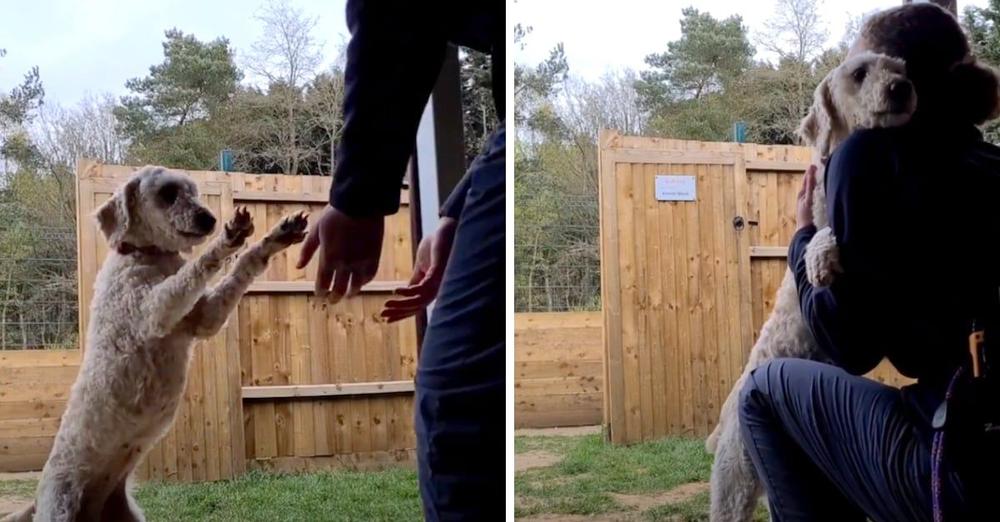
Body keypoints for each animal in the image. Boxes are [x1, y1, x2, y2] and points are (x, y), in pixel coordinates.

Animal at [2, 167, 308, 520]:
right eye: (168, 194)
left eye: (194, 192)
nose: (209, 220)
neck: (146, 255)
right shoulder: (155, 310)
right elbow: (192, 270)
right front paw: (225, 241)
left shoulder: (206, 318)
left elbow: (243, 264)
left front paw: (276, 237)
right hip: (60, 505)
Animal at [704, 51, 916, 520]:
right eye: (859, 73)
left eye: (899, 67)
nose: (902, 88)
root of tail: (723, 422)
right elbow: (826, 235)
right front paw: (820, 256)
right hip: (733, 487)